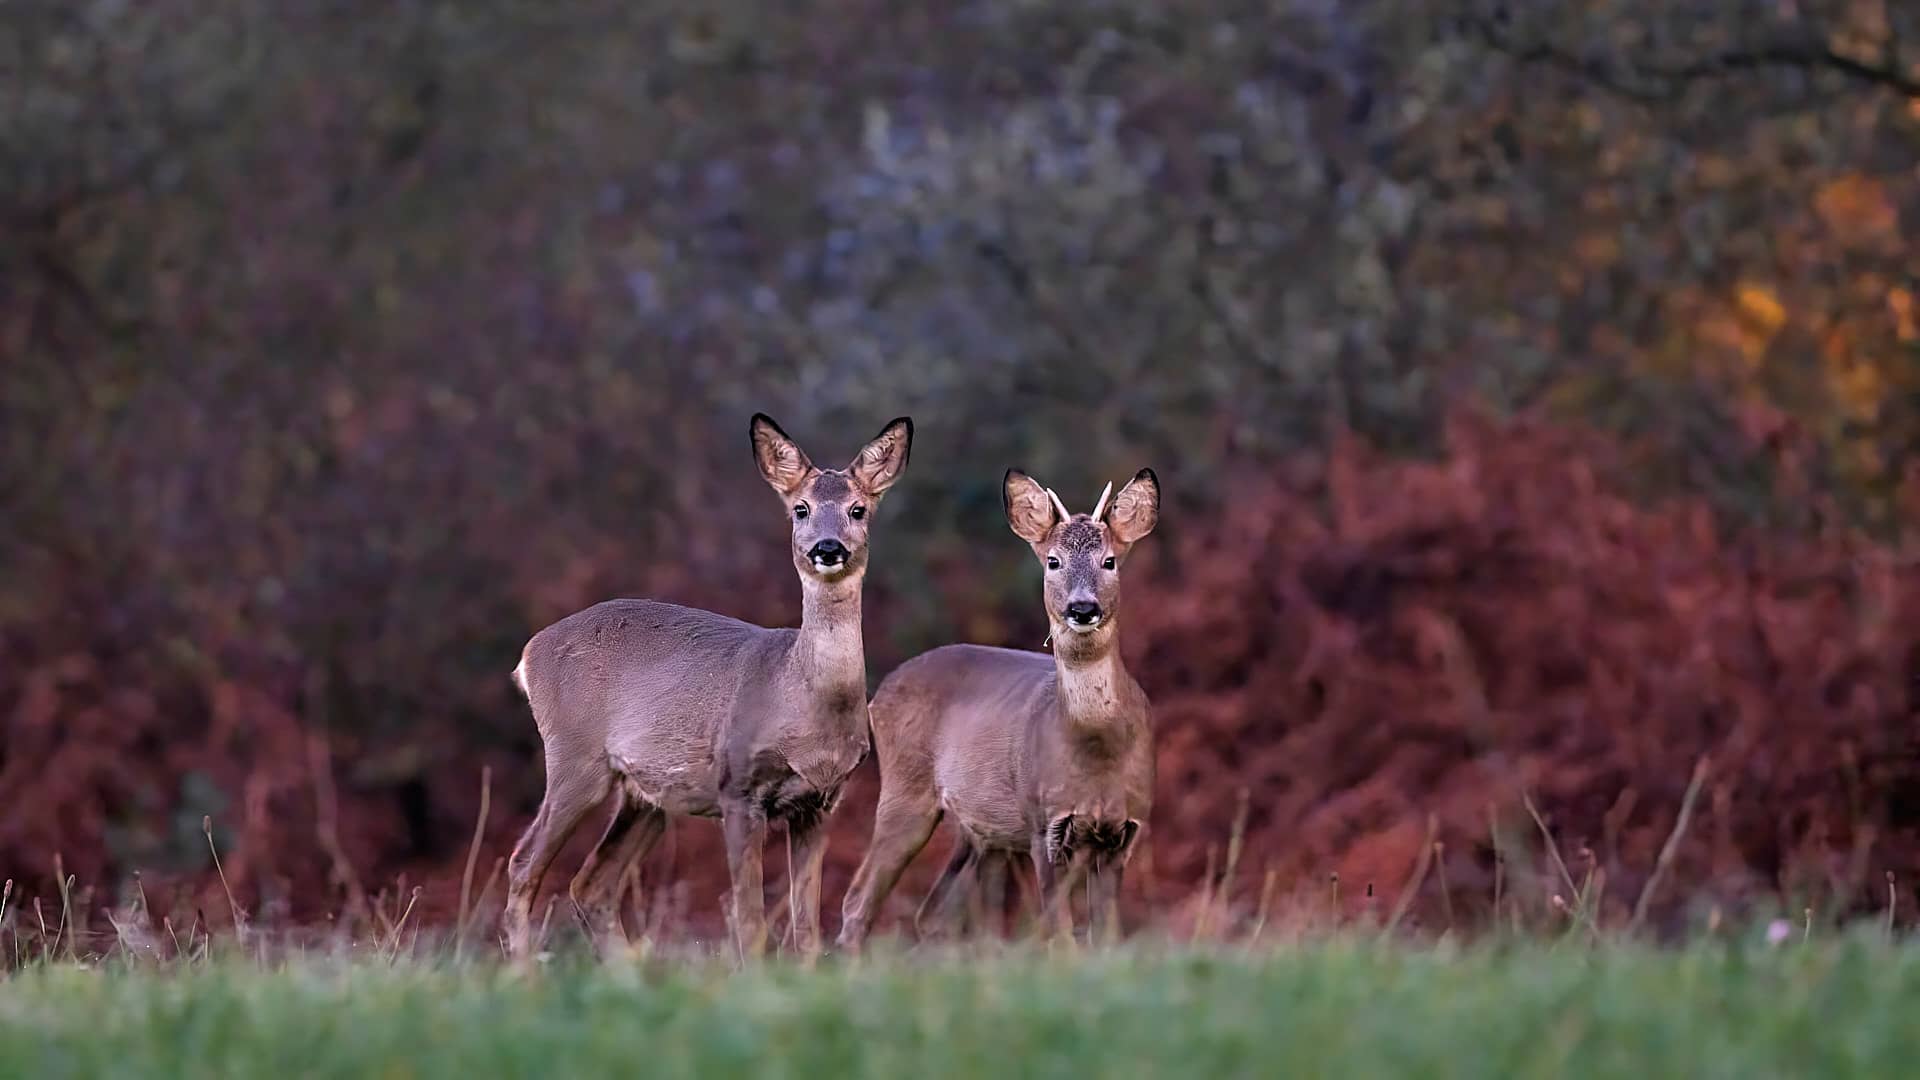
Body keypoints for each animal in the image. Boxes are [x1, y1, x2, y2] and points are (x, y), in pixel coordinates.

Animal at [504, 412, 912, 962]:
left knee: (591, 884)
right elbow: (750, 922)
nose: (828, 549)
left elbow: (806, 929)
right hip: (575, 757)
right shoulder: (737, 788)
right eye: (800, 509)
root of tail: (530, 654)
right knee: (525, 864)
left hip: (646, 797)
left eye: (858, 509)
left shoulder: (820, 803)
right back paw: (524, 972)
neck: (803, 706)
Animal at [838, 467, 1159, 949]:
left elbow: (1105, 933)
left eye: (1109, 561)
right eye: (1053, 561)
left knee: (934, 910)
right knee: (859, 900)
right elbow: (1060, 932)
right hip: (906, 792)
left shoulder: (1124, 831)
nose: (1082, 608)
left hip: (978, 833)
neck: (1096, 748)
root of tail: (879, 694)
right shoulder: (1042, 822)